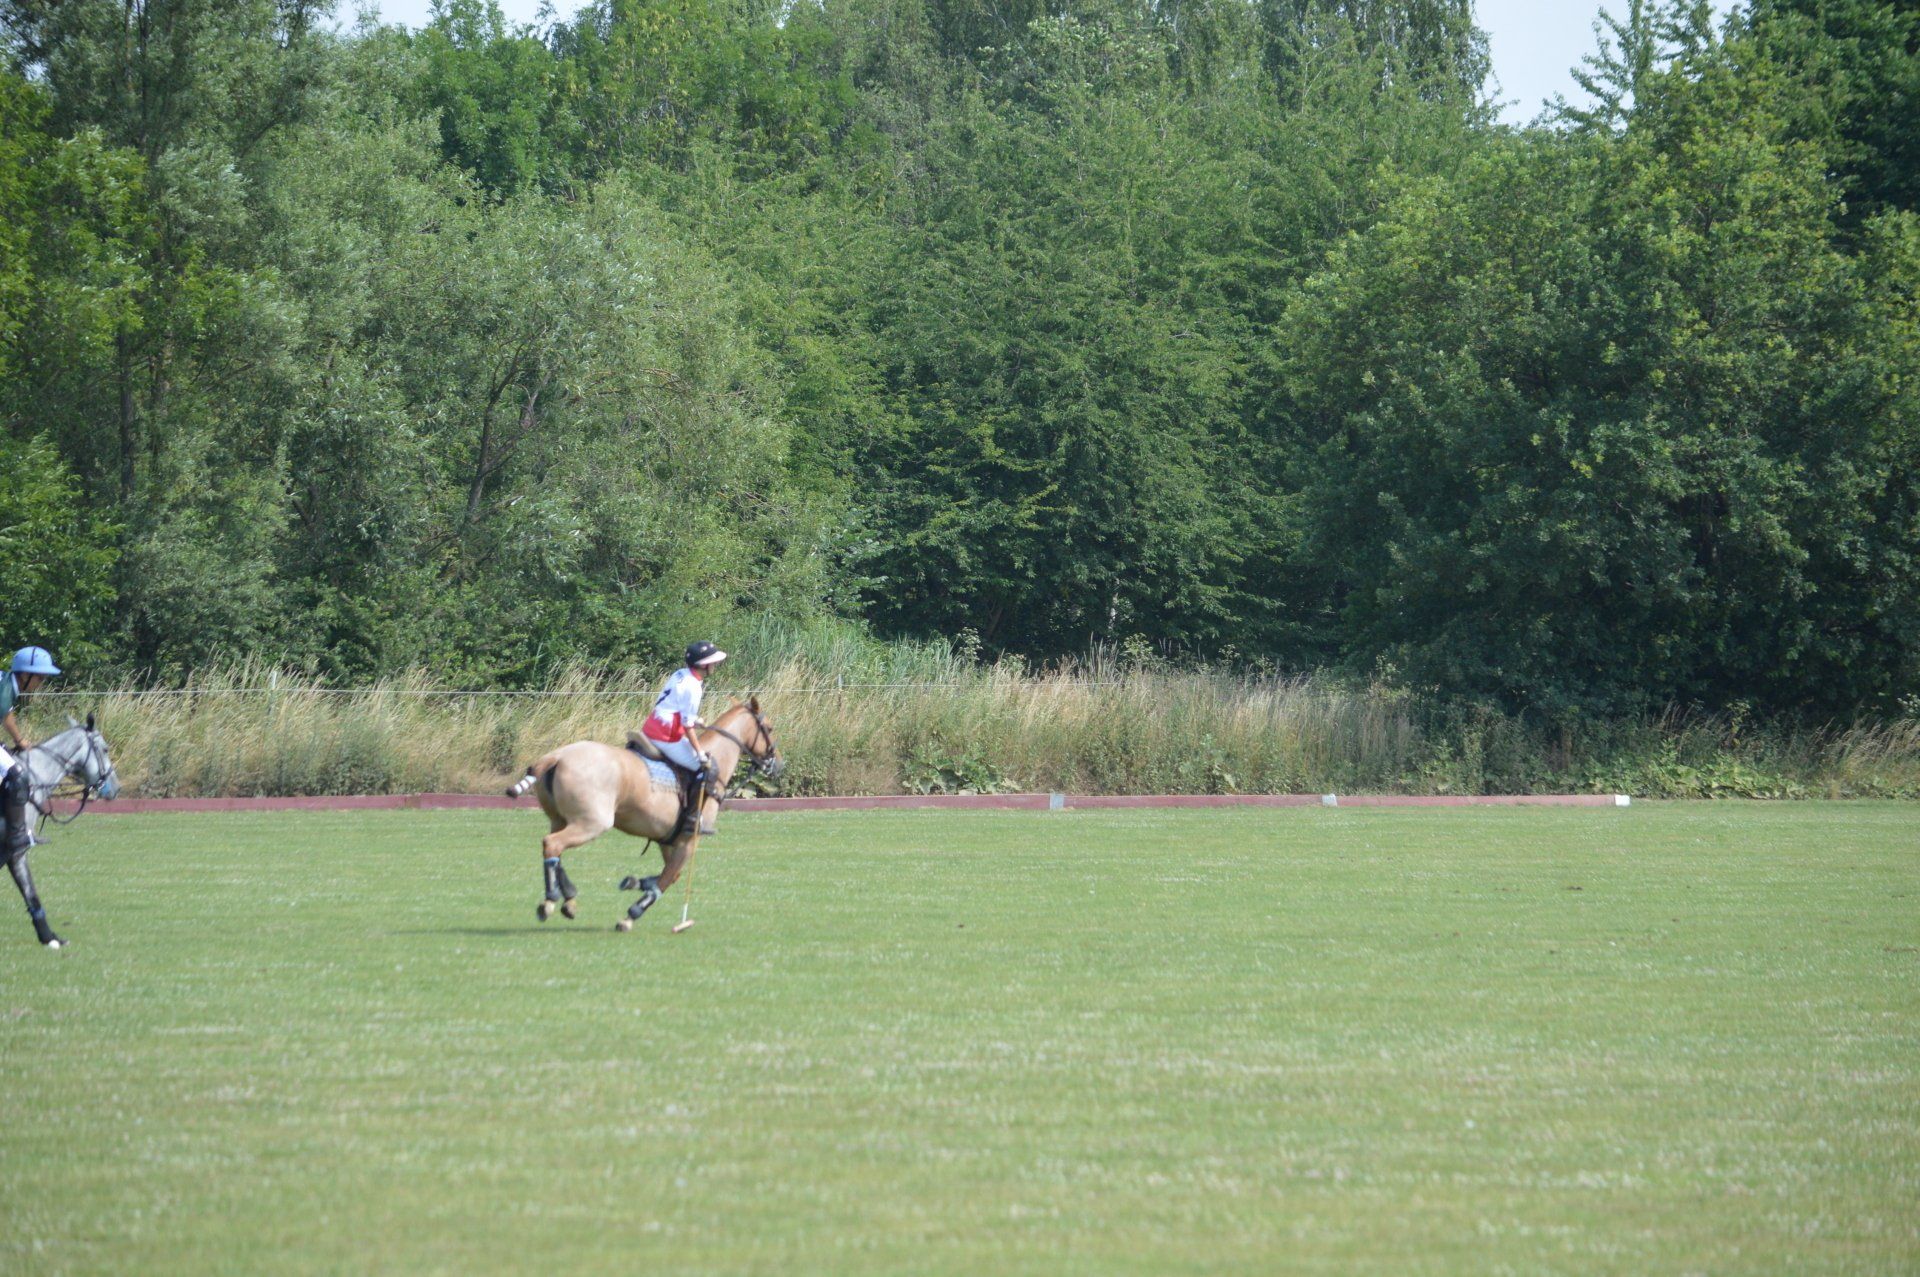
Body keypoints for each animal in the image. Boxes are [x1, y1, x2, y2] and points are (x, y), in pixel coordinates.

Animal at [5, 714, 120, 948]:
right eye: (104, 749)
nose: (116, 788)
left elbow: (30, 894)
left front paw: (50, 937)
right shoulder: (17, 852)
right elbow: (31, 892)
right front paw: (48, 937)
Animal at [504, 698, 780, 931]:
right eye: (769, 727)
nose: (778, 764)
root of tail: (556, 756)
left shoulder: (669, 839)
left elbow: (672, 875)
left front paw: (632, 883)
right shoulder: (689, 839)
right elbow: (667, 879)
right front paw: (631, 915)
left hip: (560, 819)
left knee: (555, 847)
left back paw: (569, 901)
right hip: (592, 822)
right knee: (552, 844)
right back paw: (550, 901)